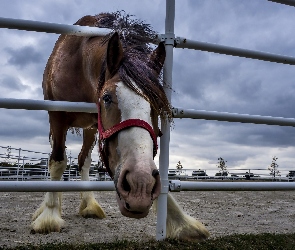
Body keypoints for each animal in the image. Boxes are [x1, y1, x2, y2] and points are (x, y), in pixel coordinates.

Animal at [31, 11, 210, 240]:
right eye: (106, 98)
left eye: (158, 104)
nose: (140, 185)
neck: (78, 63)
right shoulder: (57, 116)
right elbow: (58, 162)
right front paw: (49, 216)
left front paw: (181, 221)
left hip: (91, 129)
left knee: (83, 161)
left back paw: (89, 205)